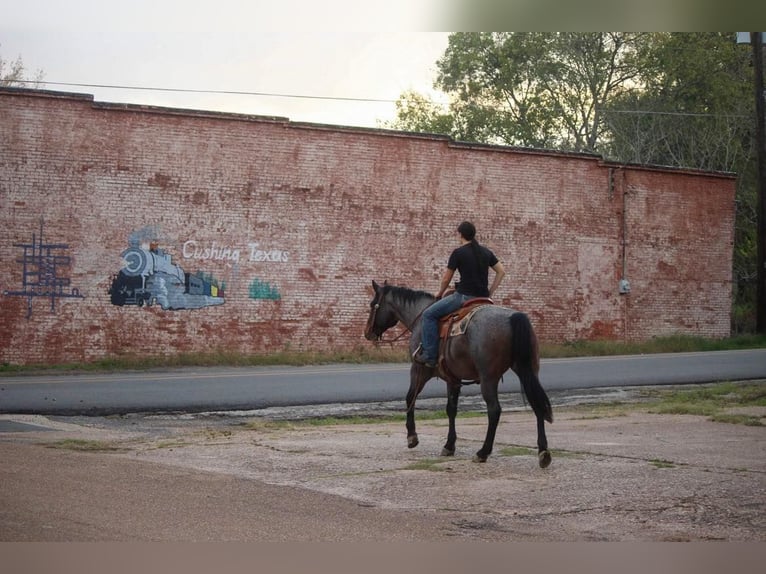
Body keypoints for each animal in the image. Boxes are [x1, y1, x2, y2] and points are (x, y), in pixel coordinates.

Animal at [366, 280, 552, 468]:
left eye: (373, 305)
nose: (367, 333)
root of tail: (513, 317)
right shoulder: (453, 379)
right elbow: (451, 409)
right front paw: (449, 445)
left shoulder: (419, 370)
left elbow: (410, 398)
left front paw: (412, 437)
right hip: (529, 371)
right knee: (537, 405)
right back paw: (543, 452)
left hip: (488, 378)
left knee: (494, 410)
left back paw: (483, 452)